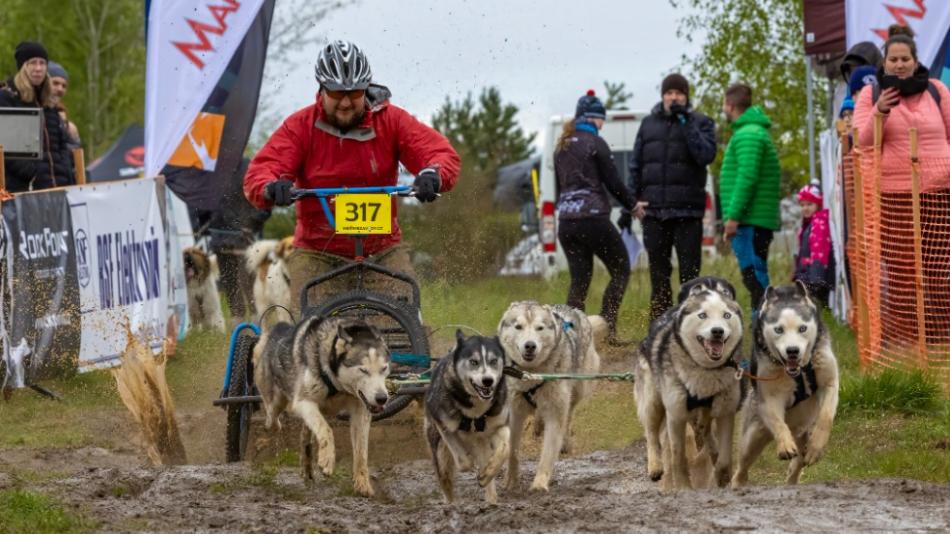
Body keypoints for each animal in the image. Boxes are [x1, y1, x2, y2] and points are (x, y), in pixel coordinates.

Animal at [426, 332, 512, 504]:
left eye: (494, 361)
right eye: (474, 362)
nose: (488, 380)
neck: (476, 411)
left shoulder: (500, 424)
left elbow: (505, 447)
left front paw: (488, 472)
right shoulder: (443, 424)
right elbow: (463, 461)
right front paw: (469, 462)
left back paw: (491, 497)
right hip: (440, 454)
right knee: (446, 481)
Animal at [494, 302, 608, 494]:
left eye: (539, 328)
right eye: (518, 326)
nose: (530, 345)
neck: (531, 375)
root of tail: (574, 310)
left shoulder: (555, 412)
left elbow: (547, 453)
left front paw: (540, 483)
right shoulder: (514, 413)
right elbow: (513, 451)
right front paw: (511, 481)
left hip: (576, 390)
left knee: (569, 415)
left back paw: (564, 441)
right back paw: (538, 424)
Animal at [636, 278, 748, 492]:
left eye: (726, 315)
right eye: (702, 315)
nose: (718, 331)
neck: (705, 370)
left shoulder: (725, 411)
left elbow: (724, 456)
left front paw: (722, 477)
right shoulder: (676, 413)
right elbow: (678, 457)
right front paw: (683, 486)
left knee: (705, 432)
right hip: (653, 401)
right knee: (652, 434)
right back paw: (655, 466)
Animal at [736, 284, 840, 490]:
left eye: (802, 328)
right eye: (778, 329)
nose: (792, 351)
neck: (799, 372)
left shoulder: (829, 382)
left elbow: (825, 417)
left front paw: (817, 446)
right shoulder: (769, 398)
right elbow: (778, 422)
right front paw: (784, 445)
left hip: (802, 434)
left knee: (797, 465)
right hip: (753, 436)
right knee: (741, 467)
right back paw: (737, 484)